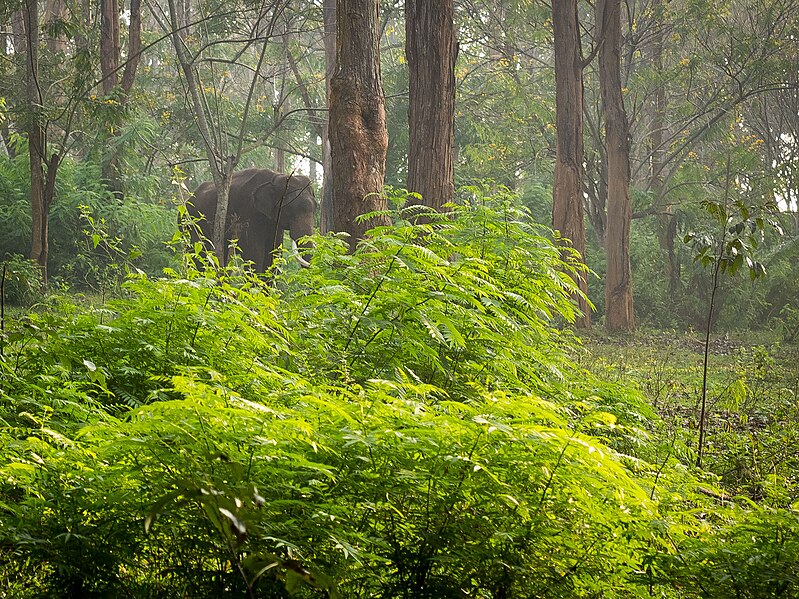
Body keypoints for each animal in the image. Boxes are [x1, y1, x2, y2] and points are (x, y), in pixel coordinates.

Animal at [189, 169, 318, 272]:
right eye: (289, 208)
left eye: (315, 209)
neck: (275, 177)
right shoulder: (248, 213)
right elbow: (254, 254)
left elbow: (273, 253)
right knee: (199, 252)